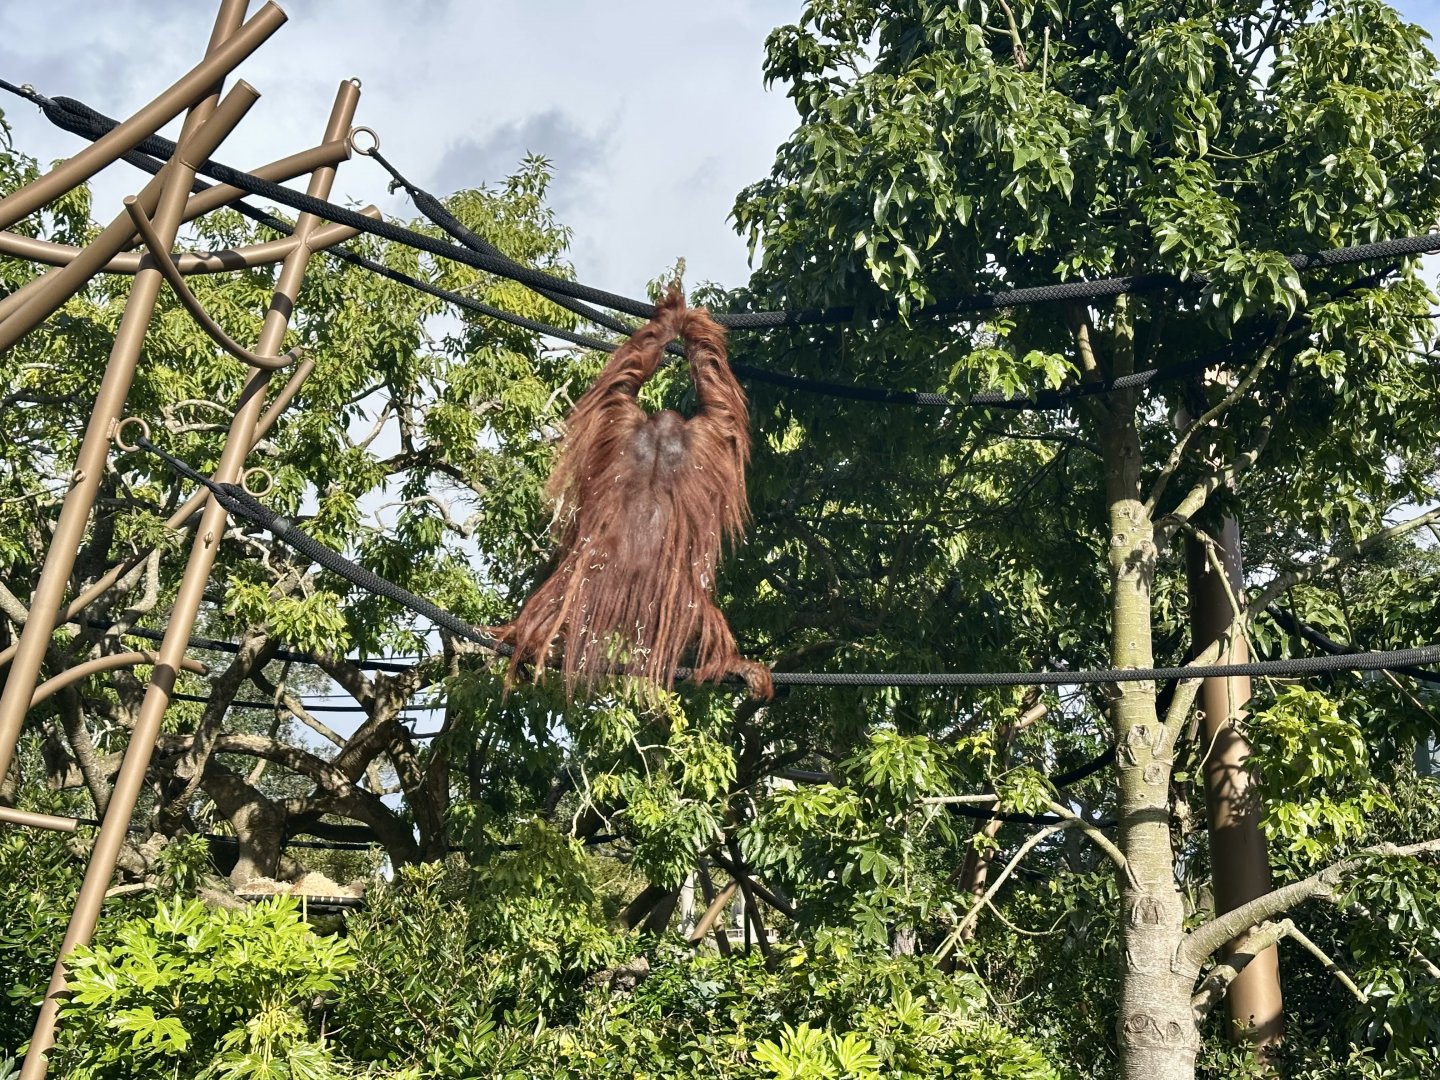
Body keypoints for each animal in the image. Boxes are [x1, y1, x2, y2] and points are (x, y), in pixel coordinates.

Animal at [497, 288, 773, 700]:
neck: (658, 440)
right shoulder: (706, 428)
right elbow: (711, 388)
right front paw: (682, 318)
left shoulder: (623, 414)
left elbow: (640, 367)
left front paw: (676, 317)